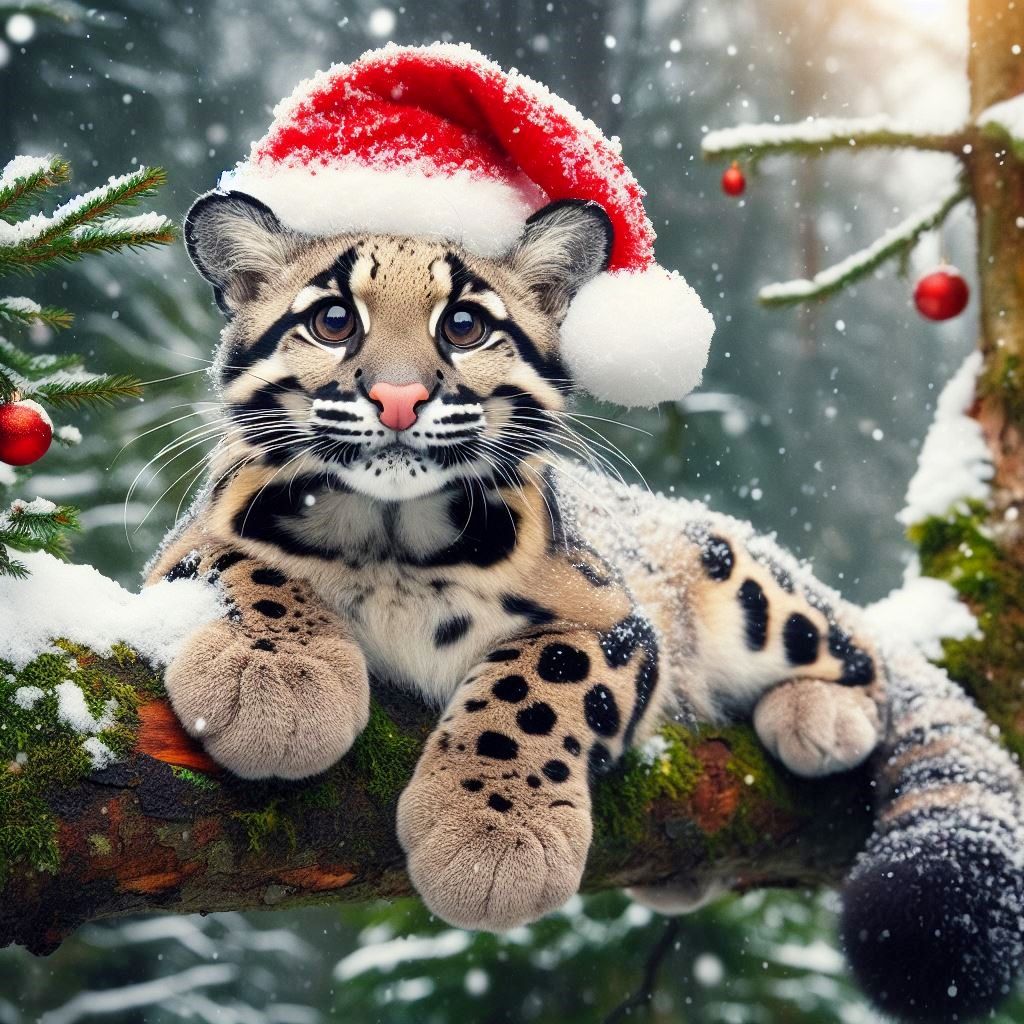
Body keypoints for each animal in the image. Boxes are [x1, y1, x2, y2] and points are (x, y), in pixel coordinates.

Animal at [149, 190, 1024, 1023]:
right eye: (332, 319)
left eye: (464, 324)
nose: (399, 397)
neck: (390, 533)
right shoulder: (183, 545)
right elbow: (238, 565)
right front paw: (278, 680)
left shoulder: (614, 615)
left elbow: (535, 682)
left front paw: (495, 836)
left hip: (741, 573)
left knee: (862, 652)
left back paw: (821, 714)